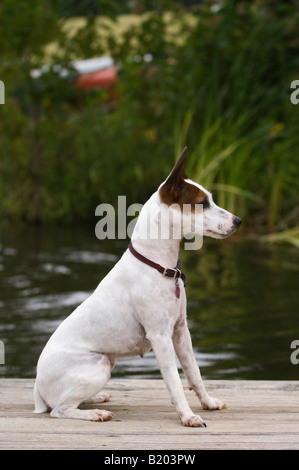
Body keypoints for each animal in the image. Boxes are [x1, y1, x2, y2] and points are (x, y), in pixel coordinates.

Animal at [34, 149, 243, 428]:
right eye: (202, 203)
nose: (238, 220)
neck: (158, 265)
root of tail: (37, 385)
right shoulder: (161, 337)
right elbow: (175, 383)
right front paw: (188, 416)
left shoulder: (180, 331)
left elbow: (194, 373)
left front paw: (207, 402)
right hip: (99, 364)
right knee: (60, 409)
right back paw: (95, 413)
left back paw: (97, 398)